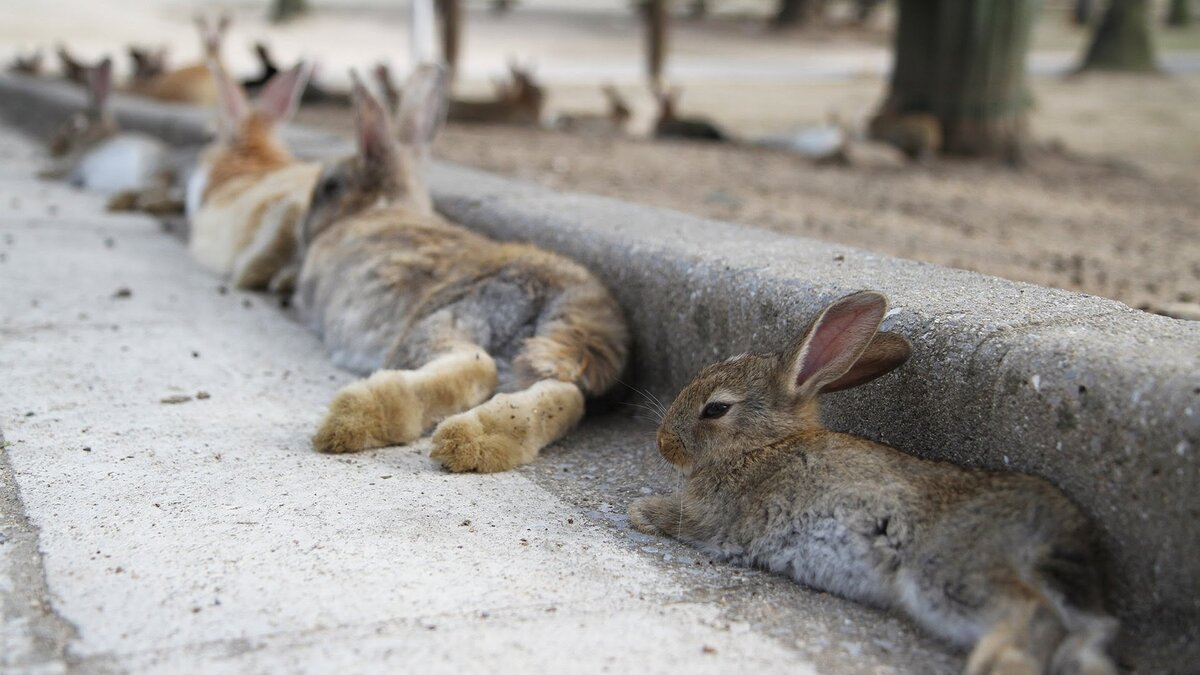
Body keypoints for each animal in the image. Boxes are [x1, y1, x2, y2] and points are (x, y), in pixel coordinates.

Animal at [292, 65, 628, 470]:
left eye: (329, 187)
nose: (301, 232)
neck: (379, 205)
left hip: (443, 320)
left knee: (477, 365)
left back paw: (356, 417)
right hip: (527, 358)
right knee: (564, 397)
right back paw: (479, 442)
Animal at [633, 290, 1118, 672]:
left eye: (715, 409)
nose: (663, 443)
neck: (763, 445)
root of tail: (1055, 525)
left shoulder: (715, 517)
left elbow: (681, 518)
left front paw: (640, 511)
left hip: (947, 569)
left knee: (1034, 613)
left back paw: (993, 664)